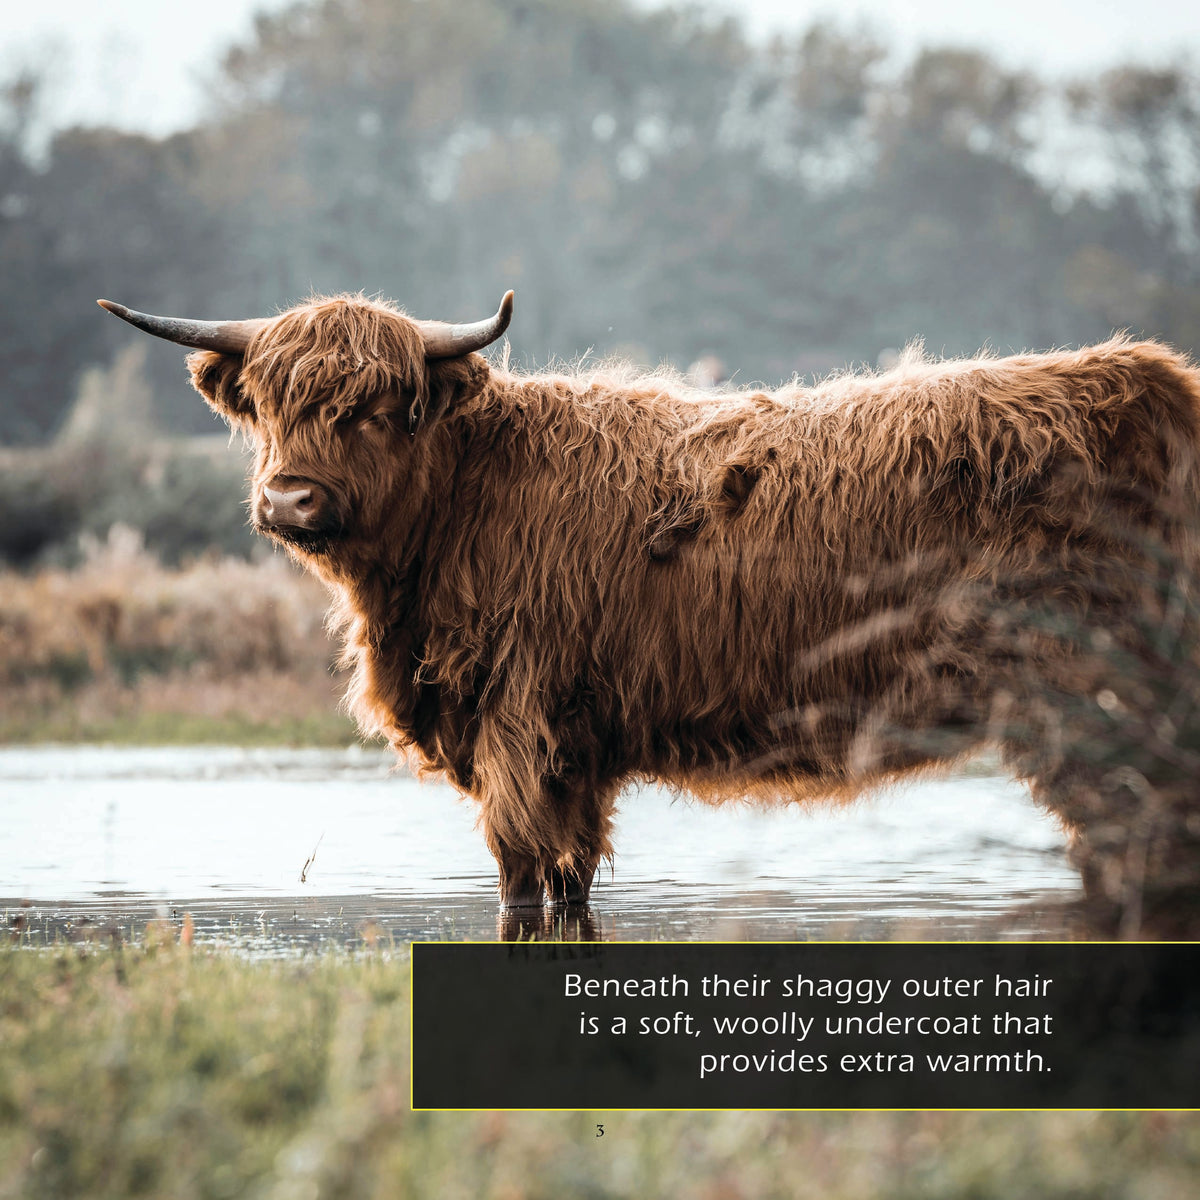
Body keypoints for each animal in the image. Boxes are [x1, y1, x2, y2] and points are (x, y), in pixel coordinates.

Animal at [98, 292, 1200, 930]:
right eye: (267, 405)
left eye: (379, 409)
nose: (290, 499)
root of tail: (1151, 379)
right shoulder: (574, 745)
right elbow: (573, 881)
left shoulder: (520, 722)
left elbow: (520, 879)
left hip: (1097, 699)